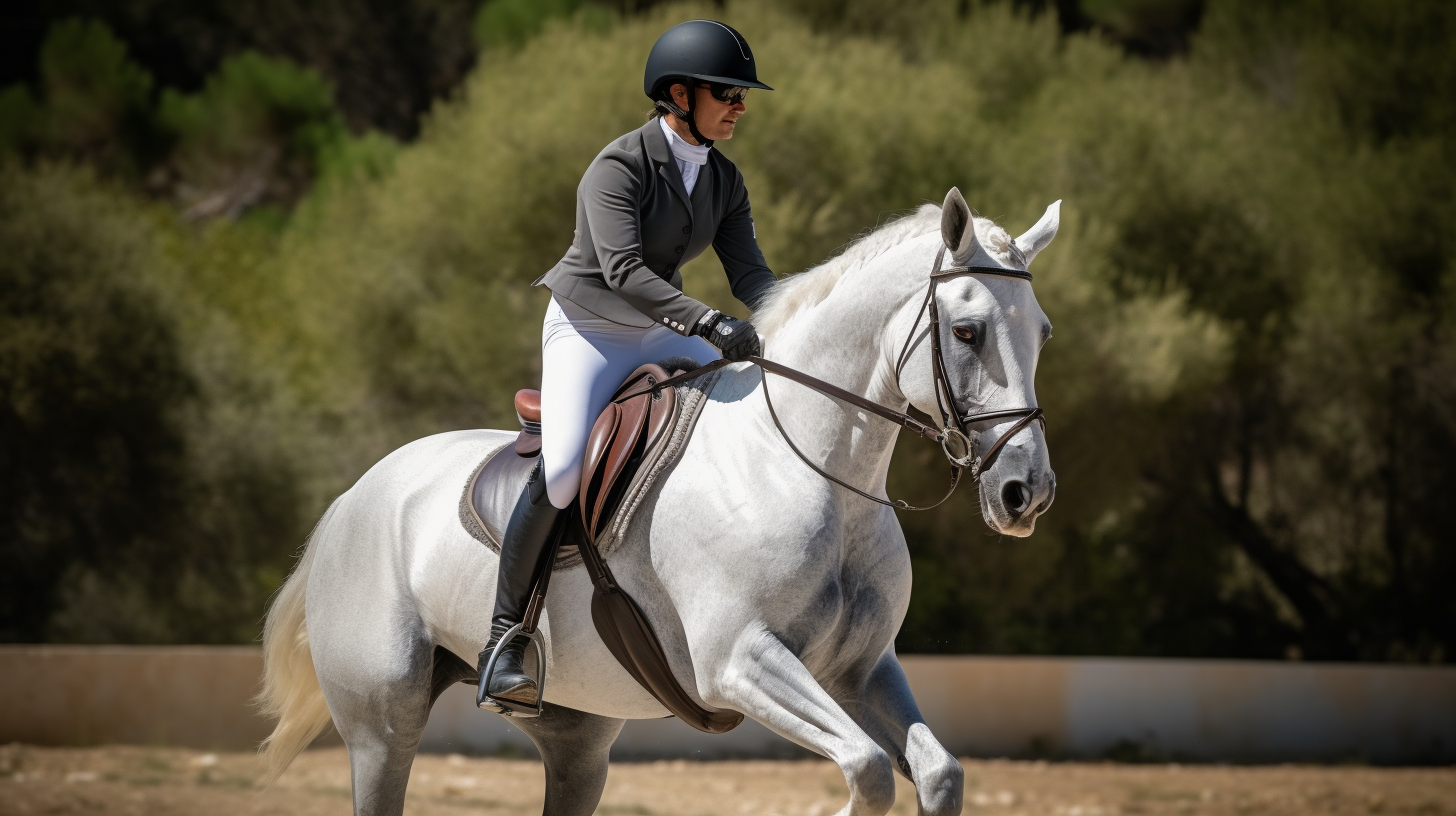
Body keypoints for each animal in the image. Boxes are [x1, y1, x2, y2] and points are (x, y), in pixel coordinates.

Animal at [259, 187, 1059, 816]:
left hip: (575, 736)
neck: (808, 470)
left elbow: (938, 773)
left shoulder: (861, 670)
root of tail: (354, 497)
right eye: (967, 331)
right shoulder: (740, 660)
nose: (1027, 494)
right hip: (382, 729)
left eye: (1043, 332)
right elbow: (867, 771)